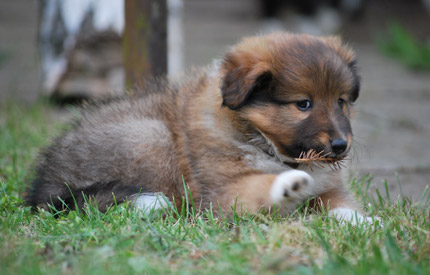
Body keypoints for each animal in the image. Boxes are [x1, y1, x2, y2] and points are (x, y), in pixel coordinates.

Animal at [26, 31, 370, 223]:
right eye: (303, 104)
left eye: (341, 101)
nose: (341, 146)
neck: (260, 139)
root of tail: (46, 186)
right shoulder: (220, 192)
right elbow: (257, 187)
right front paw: (287, 185)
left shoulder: (328, 188)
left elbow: (338, 205)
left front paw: (367, 222)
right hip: (152, 138)